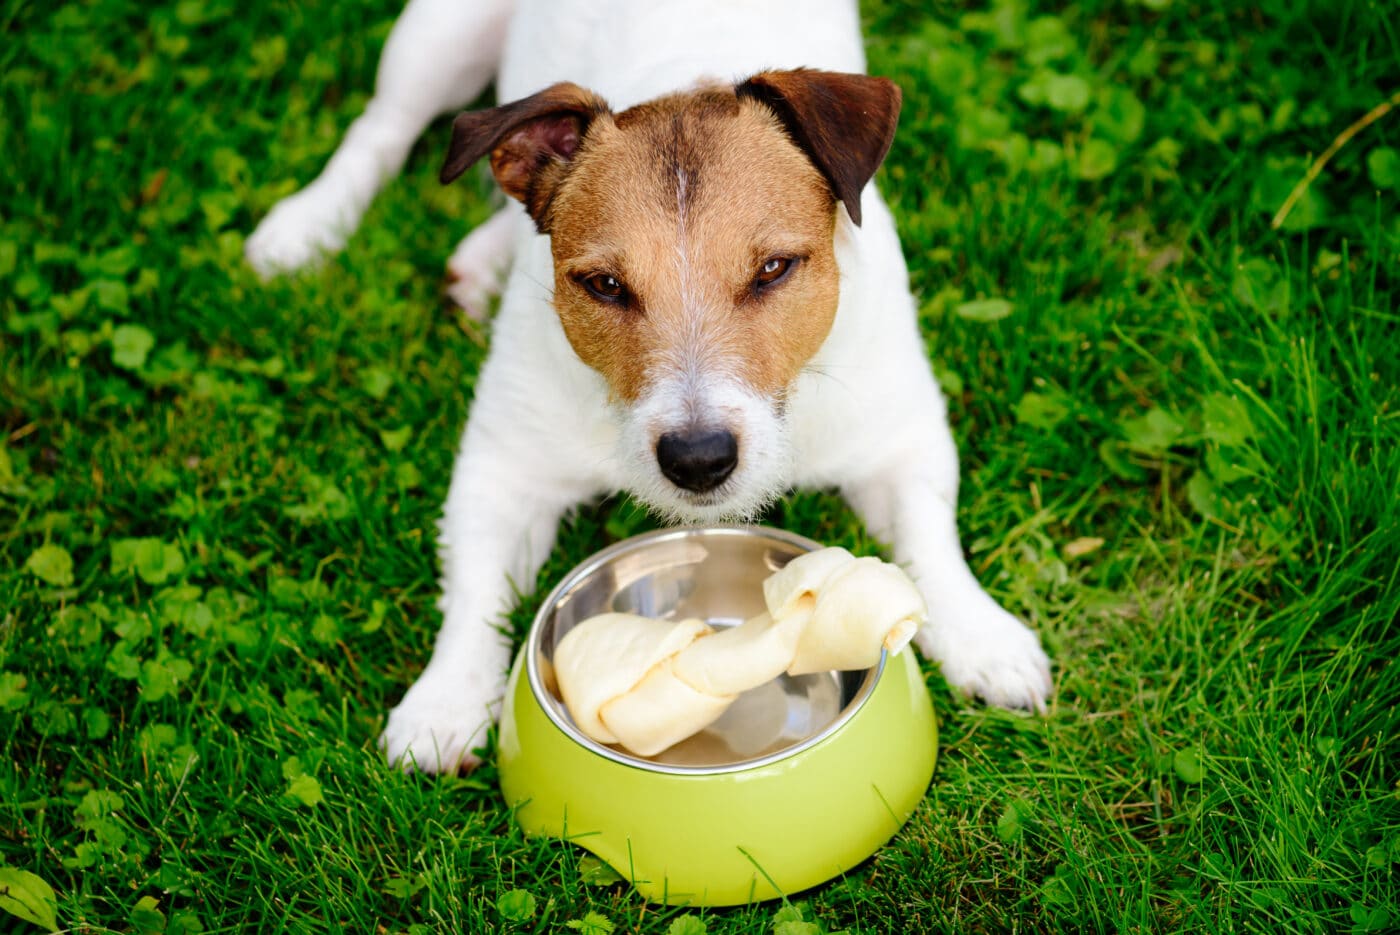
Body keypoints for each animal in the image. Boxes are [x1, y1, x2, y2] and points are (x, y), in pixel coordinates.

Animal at [246, 0, 1052, 772]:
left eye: (774, 269)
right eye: (604, 284)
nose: (699, 460)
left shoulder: (898, 438)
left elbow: (929, 538)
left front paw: (984, 639)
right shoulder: (502, 468)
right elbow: (475, 591)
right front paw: (444, 702)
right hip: (438, 37)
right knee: (381, 127)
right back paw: (306, 226)